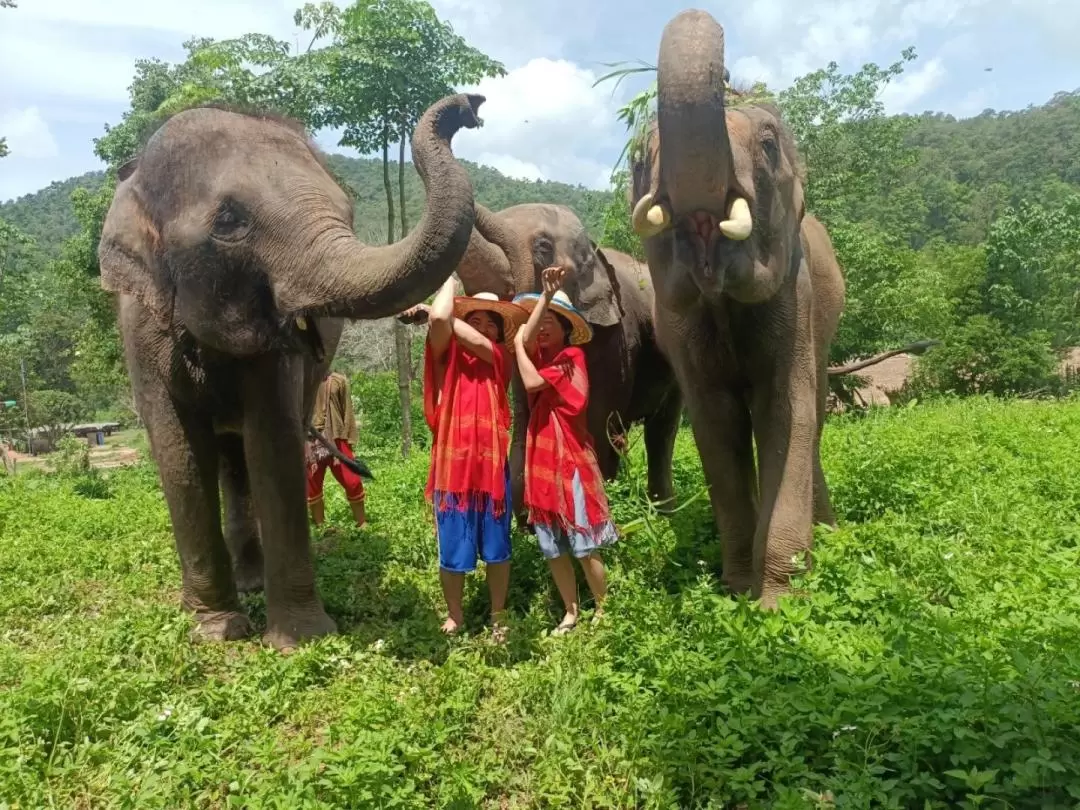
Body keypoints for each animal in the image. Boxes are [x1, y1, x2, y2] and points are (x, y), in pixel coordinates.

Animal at [97, 93, 486, 652]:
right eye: (229, 220)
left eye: (346, 211)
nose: (468, 106)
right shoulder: (139, 327)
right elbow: (179, 454)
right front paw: (216, 631)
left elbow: (273, 441)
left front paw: (300, 640)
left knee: (241, 459)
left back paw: (253, 583)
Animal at [449, 204, 682, 520]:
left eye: (543, 247)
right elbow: (527, 419)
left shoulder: (617, 339)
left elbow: (597, 424)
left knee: (661, 429)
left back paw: (663, 512)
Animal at [626, 9, 851, 609]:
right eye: (638, 157)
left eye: (768, 145)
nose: (726, 72)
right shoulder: (680, 325)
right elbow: (715, 421)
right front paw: (736, 590)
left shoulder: (795, 296)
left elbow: (786, 413)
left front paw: (777, 603)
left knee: (815, 416)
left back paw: (829, 533)